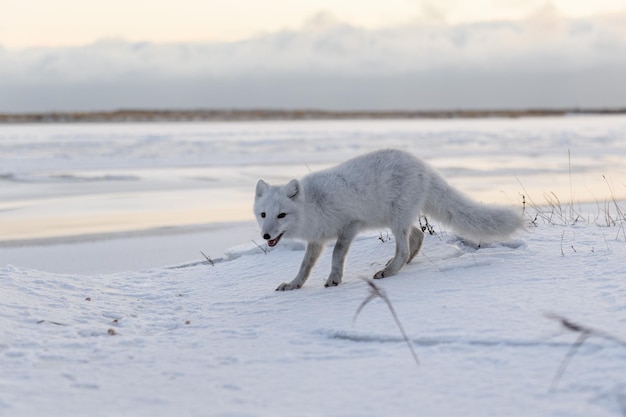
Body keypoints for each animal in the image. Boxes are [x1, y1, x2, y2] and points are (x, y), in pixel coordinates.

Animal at [254, 149, 520, 290]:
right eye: (263, 214)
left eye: (282, 215)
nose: (266, 236)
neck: (313, 205)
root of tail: (424, 166)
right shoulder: (317, 239)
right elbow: (305, 266)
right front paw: (293, 285)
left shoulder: (350, 225)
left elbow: (337, 254)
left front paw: (334, 279)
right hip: (398, 219)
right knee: (418, 235)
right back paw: (400, 264)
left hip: (396, 220)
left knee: (405, 247)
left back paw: (390, 270)